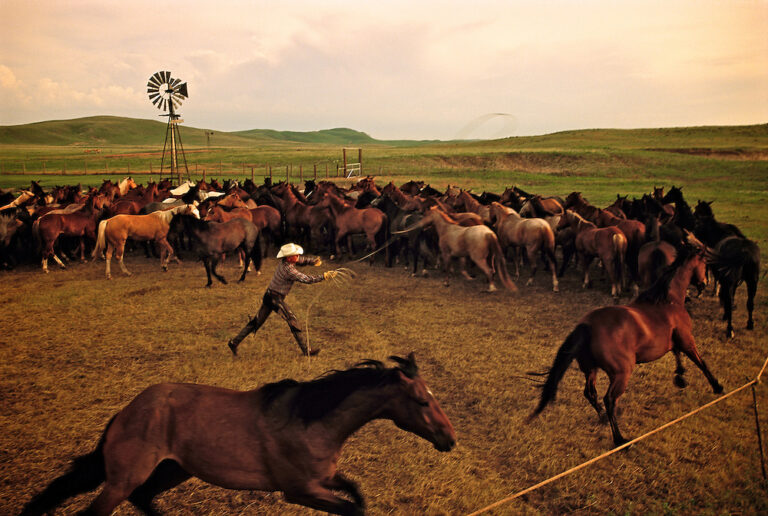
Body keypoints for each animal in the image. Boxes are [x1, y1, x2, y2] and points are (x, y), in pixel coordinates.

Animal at [21, 352, 456, 516]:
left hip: (174, 469)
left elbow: (357, 496)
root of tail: (126, 412)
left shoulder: (325, 479)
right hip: (124, 479)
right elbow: (352, 508)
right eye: (421, 401)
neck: (312, 421)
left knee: (144, 500)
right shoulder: (300, 491)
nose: (450, 439)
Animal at [532, 244, 724, 446]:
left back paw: (602, 418)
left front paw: (680, 377)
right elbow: (701, 363)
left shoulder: (675, 340)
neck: (668, 300)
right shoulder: (687, 340)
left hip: (591, 369)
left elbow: (677, 354)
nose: (704, 283)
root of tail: (588, 325)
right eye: (705, 264)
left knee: (590, 394)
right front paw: (717, 386)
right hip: (621, 373)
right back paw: (620, 440)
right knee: (609, 400)